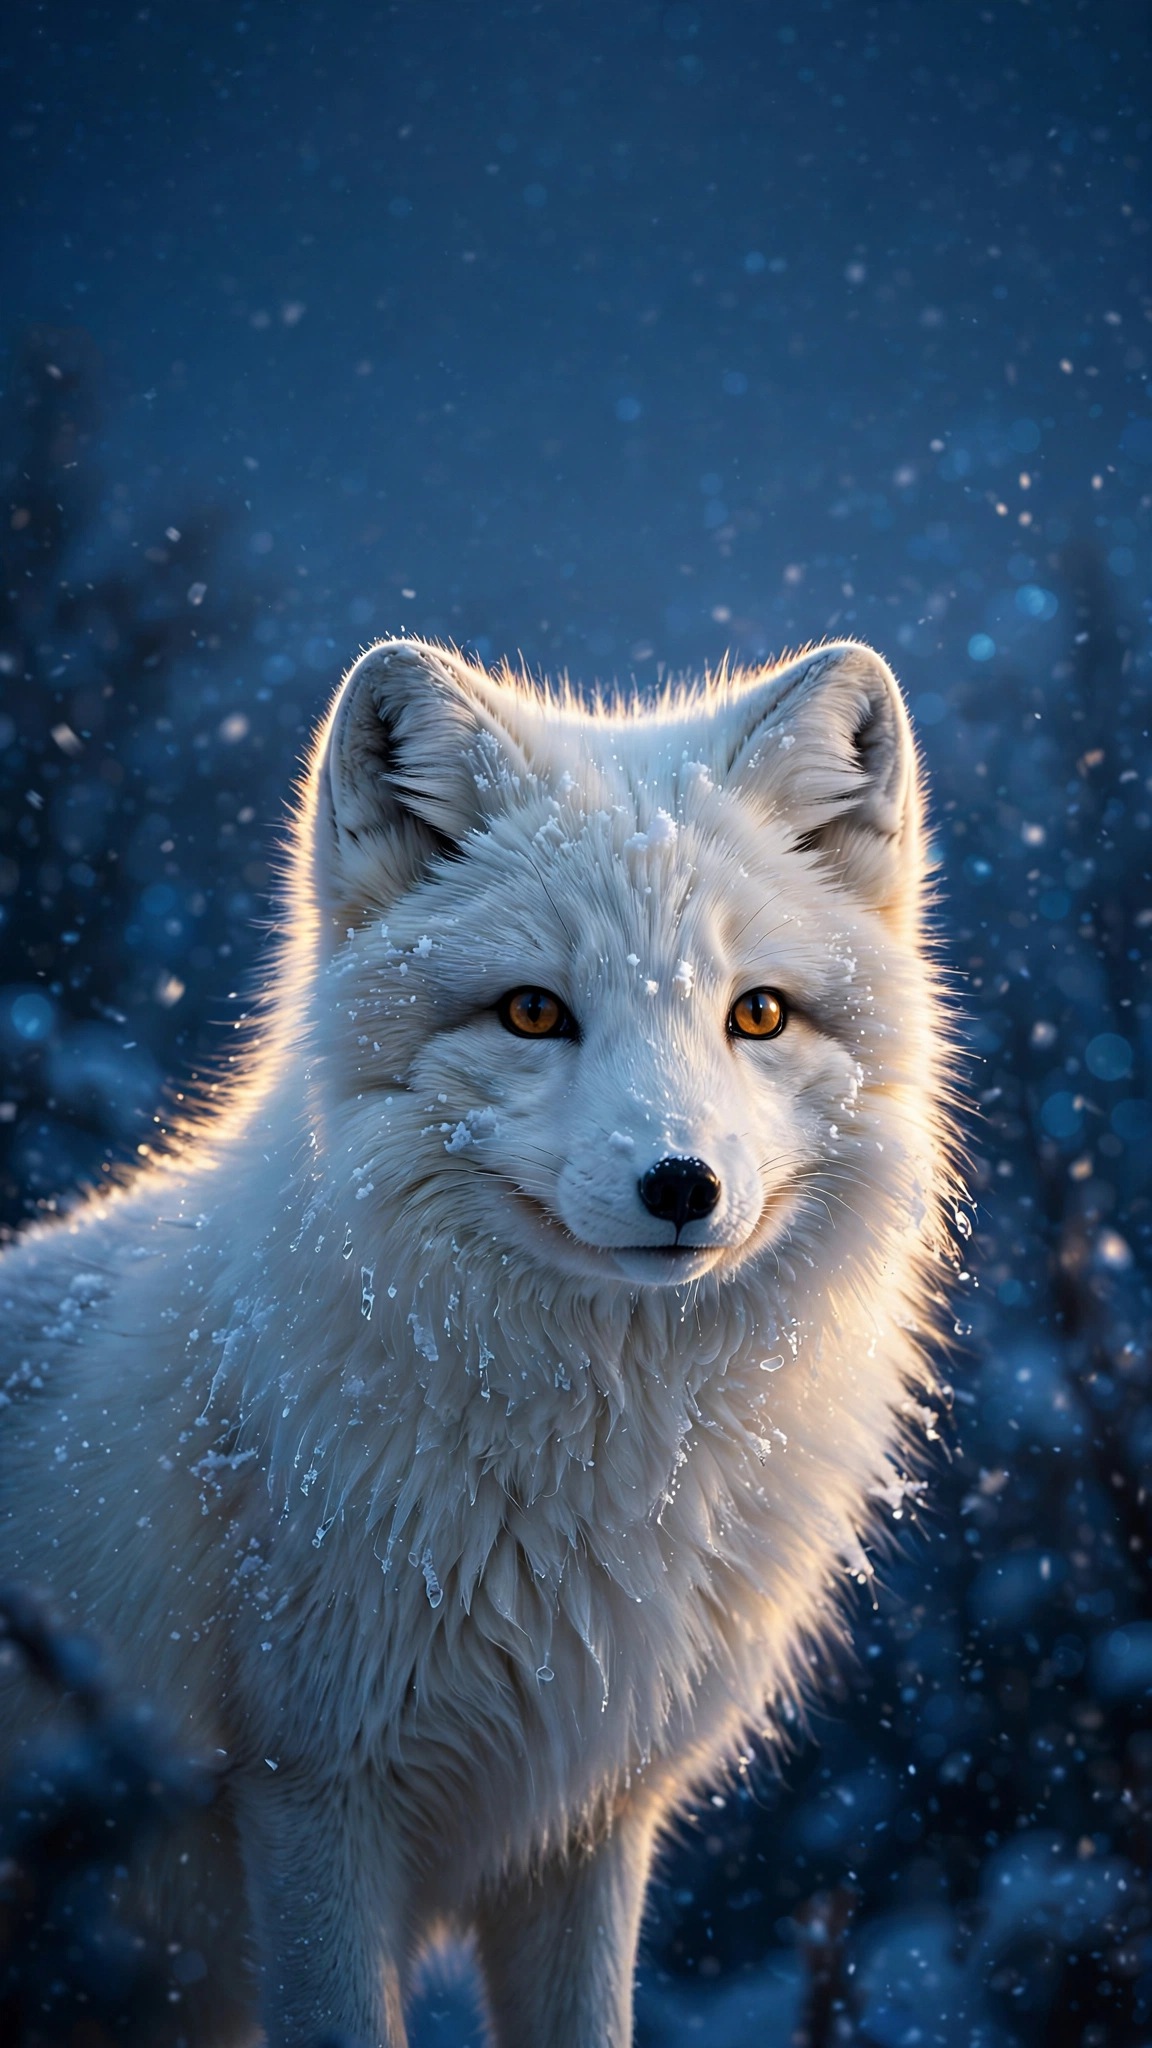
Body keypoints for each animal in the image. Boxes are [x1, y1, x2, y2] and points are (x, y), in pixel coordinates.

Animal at [0, 634, 955, 2047]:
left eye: (760, 1015)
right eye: (533, 1012)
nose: (682, 1184)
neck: (603, 1474)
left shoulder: (589, 1816)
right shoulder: (311, 1790)